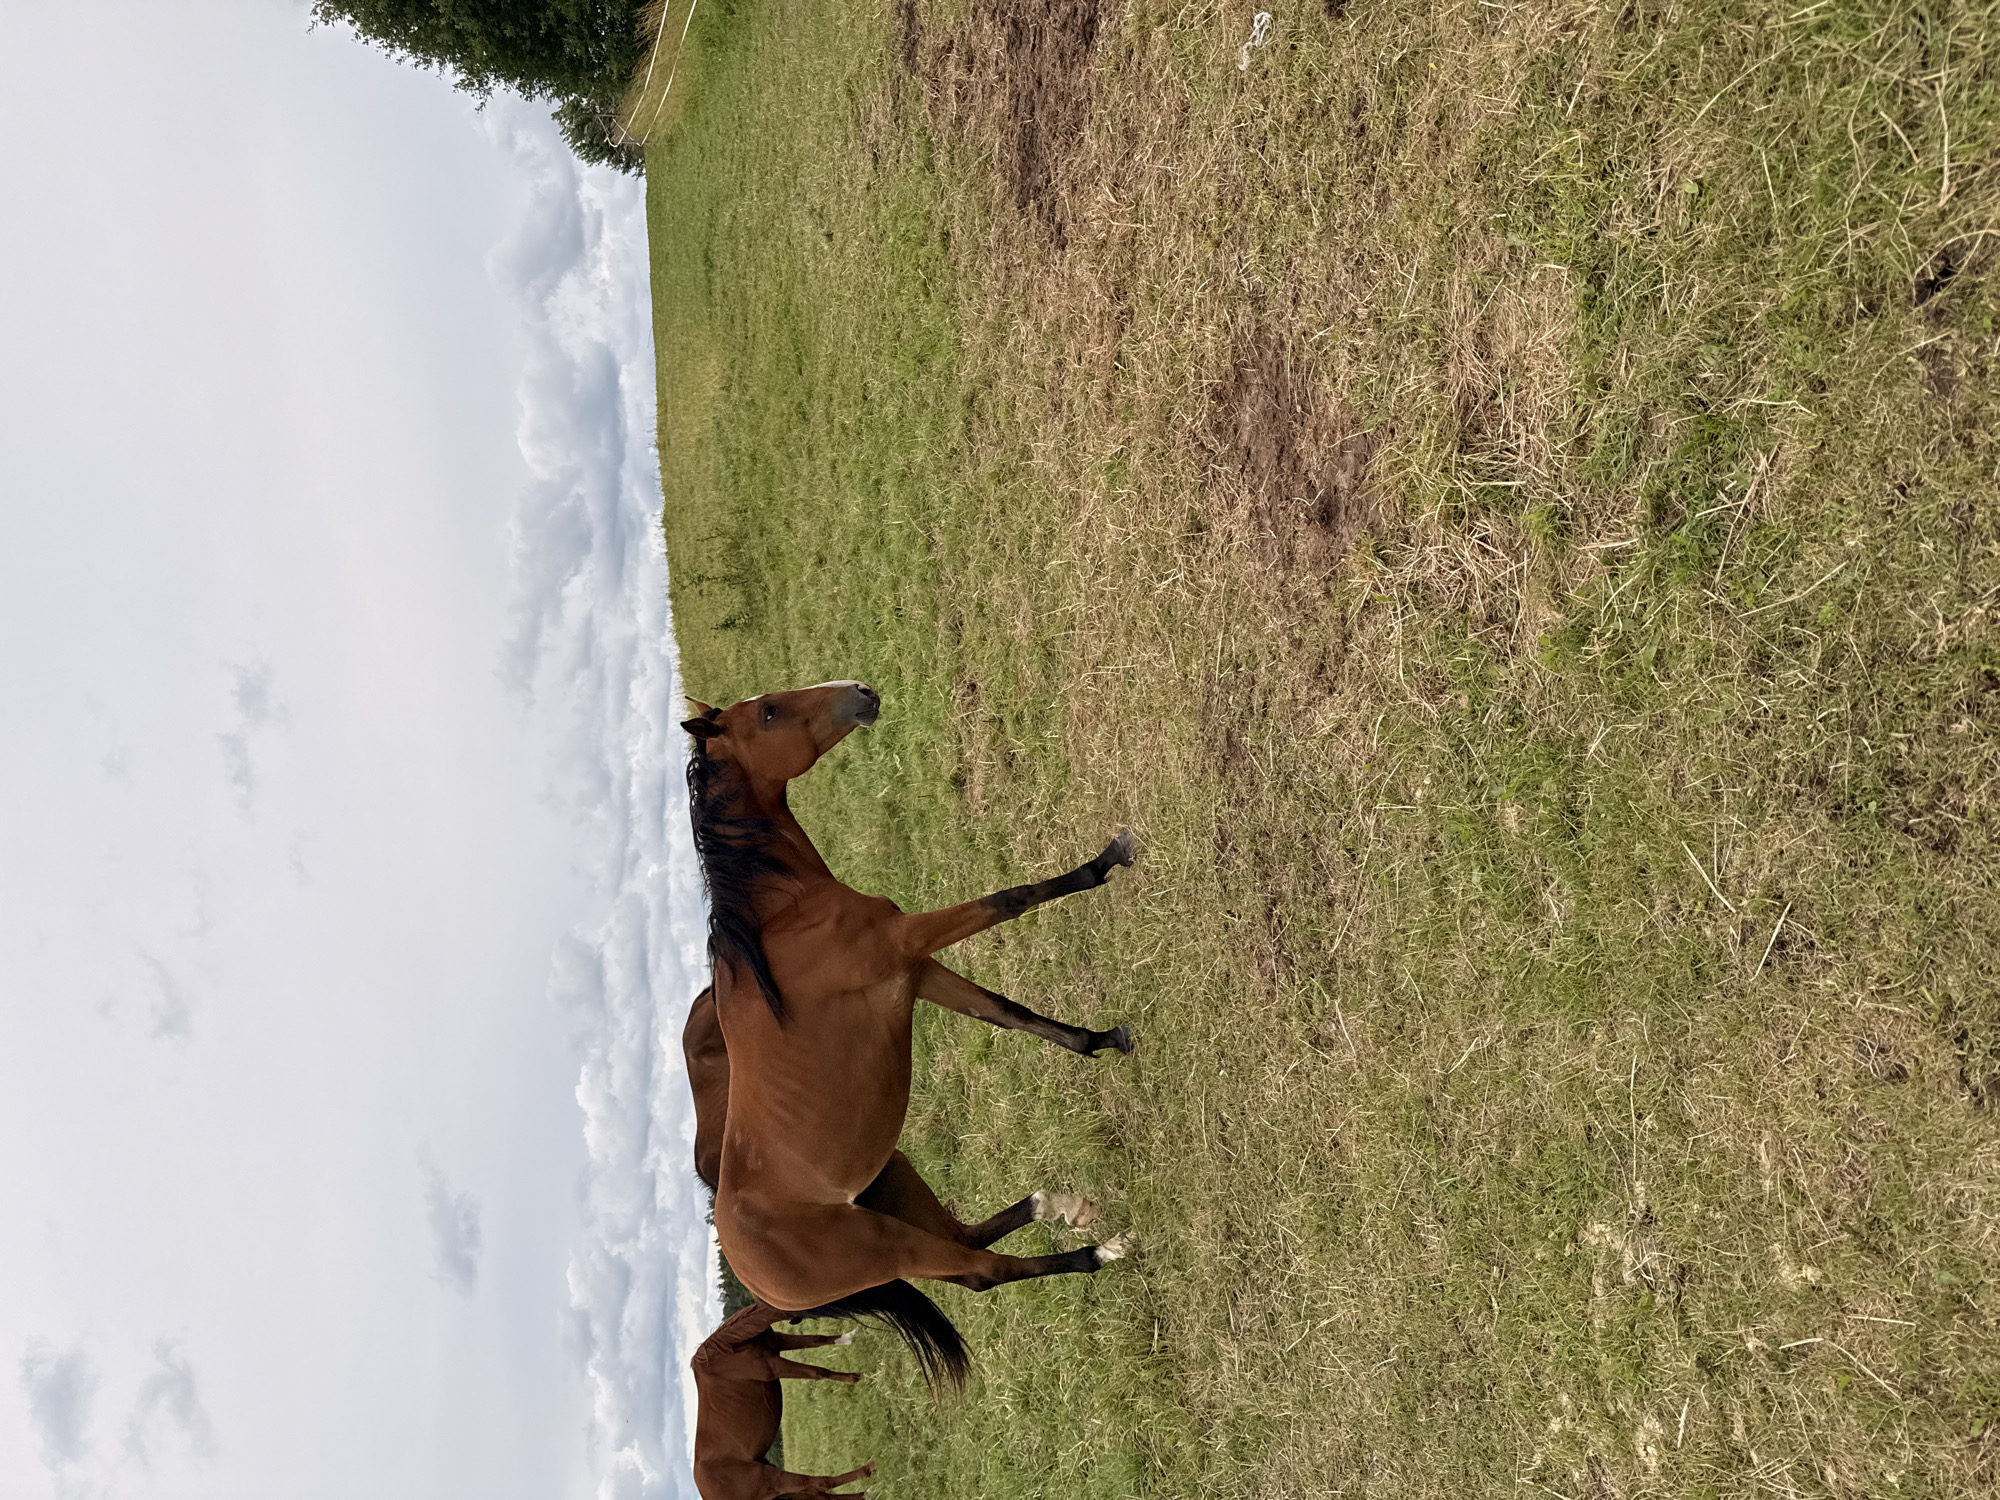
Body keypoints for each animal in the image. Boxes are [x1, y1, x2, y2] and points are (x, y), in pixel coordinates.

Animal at [682, 681, 1136, 1379]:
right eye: (770, 713)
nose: (860, 692)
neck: (782, 921)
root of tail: (757, 1282)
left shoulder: (917, 973)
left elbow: (1008, 1013)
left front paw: (1103, 1041)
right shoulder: (909, 943)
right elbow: (1013, 898)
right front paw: (1107, 860)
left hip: (894, 1181)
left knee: (964, 1238)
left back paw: (1056, 1205)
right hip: (891, 1245)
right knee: (981, 1271)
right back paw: (1100, 1251)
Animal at [691, 1300, 872, 1500]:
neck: (726, 1352)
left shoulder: (779, 1341)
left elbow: (817, 1339)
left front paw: (849, 1337)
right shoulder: (775, 1366)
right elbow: (818, 1372)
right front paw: (852, 1378)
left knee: (819, 1494)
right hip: (773, 1480)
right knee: (820, 1483)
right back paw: (868, 1470)